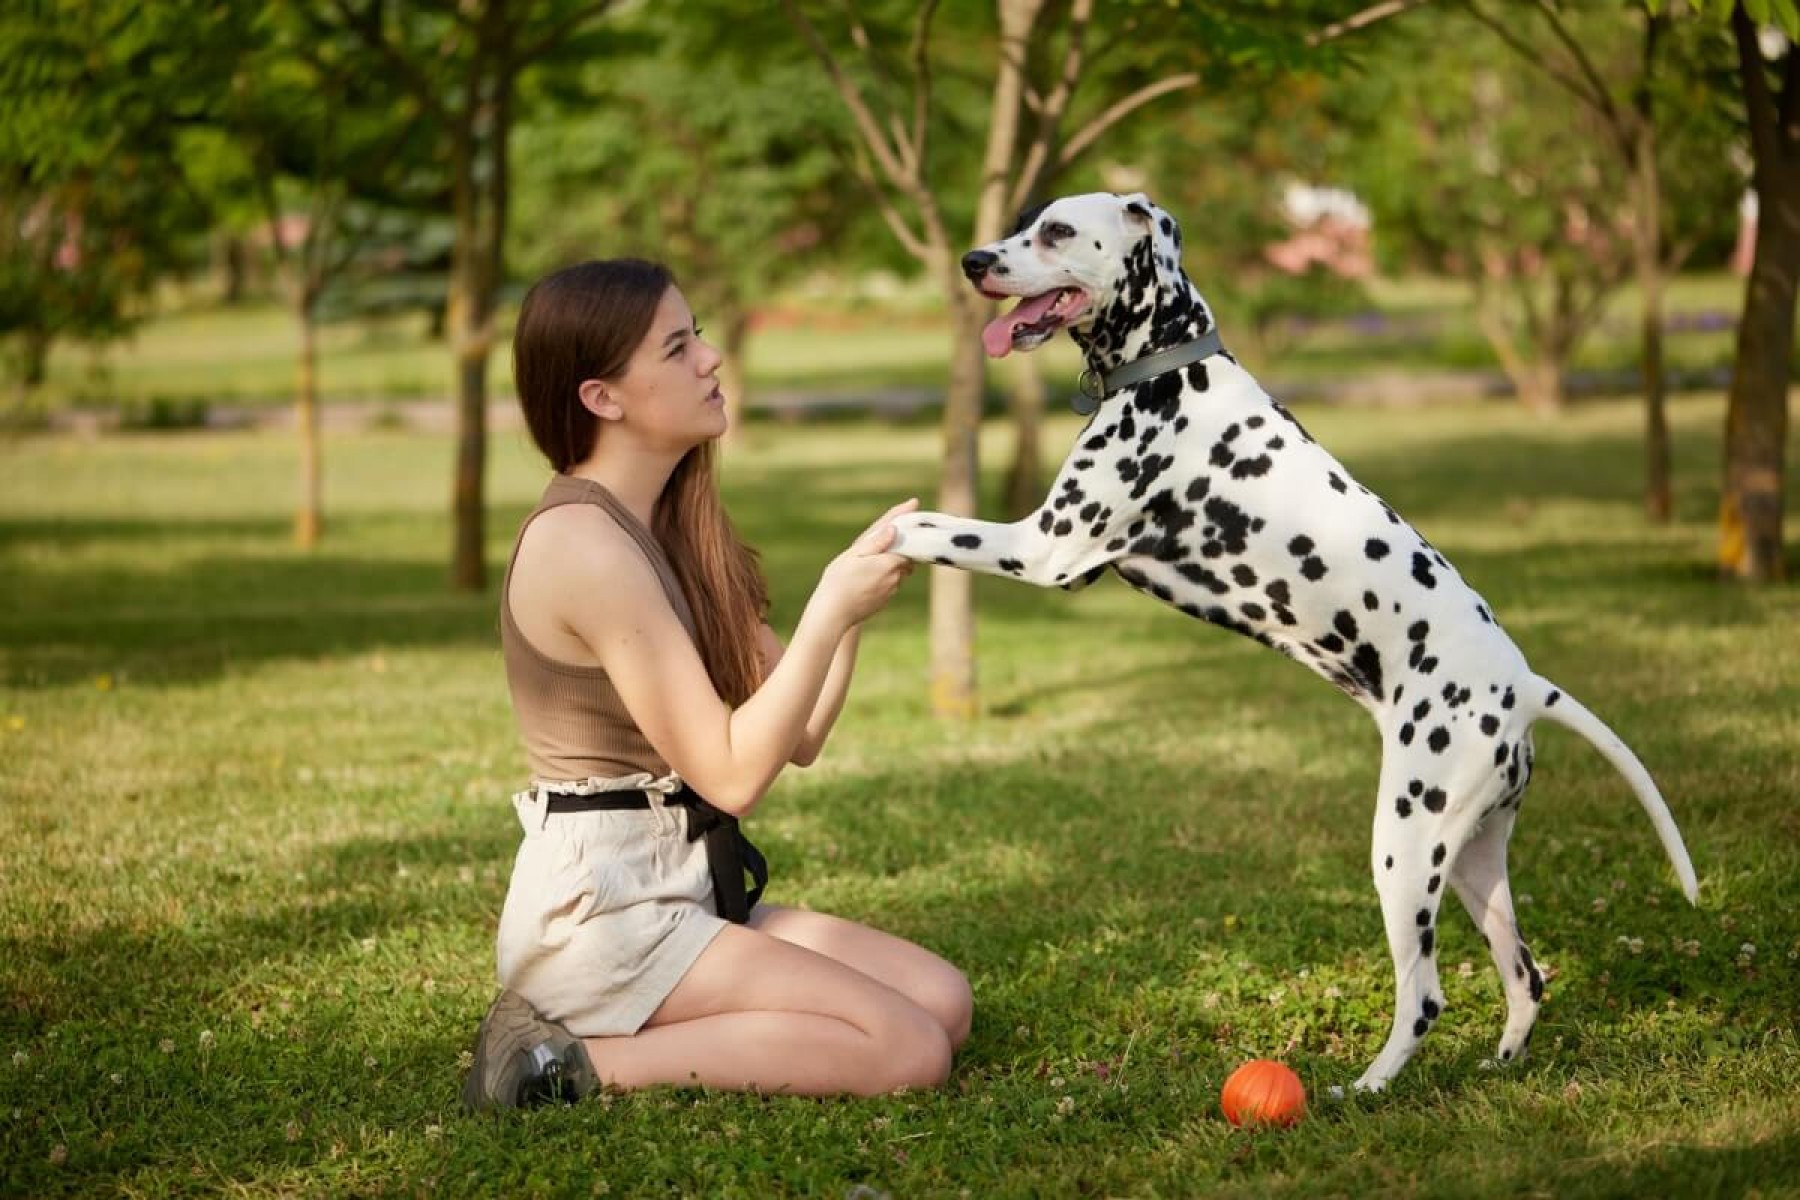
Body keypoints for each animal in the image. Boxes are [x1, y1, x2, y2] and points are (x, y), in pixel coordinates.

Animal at [889, 189, 1699, 1101]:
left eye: (1056, 232)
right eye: (1025, 221)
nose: (974, 261)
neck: (1168, 367)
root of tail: (1524, 685)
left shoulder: (1043, 548)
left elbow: (930, 527)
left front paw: (872, 548)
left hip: (1403, 849)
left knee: (1424, 996)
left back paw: (1365, 1089)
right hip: (1472, 861)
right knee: (1526, 977)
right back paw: (1499, 1067)